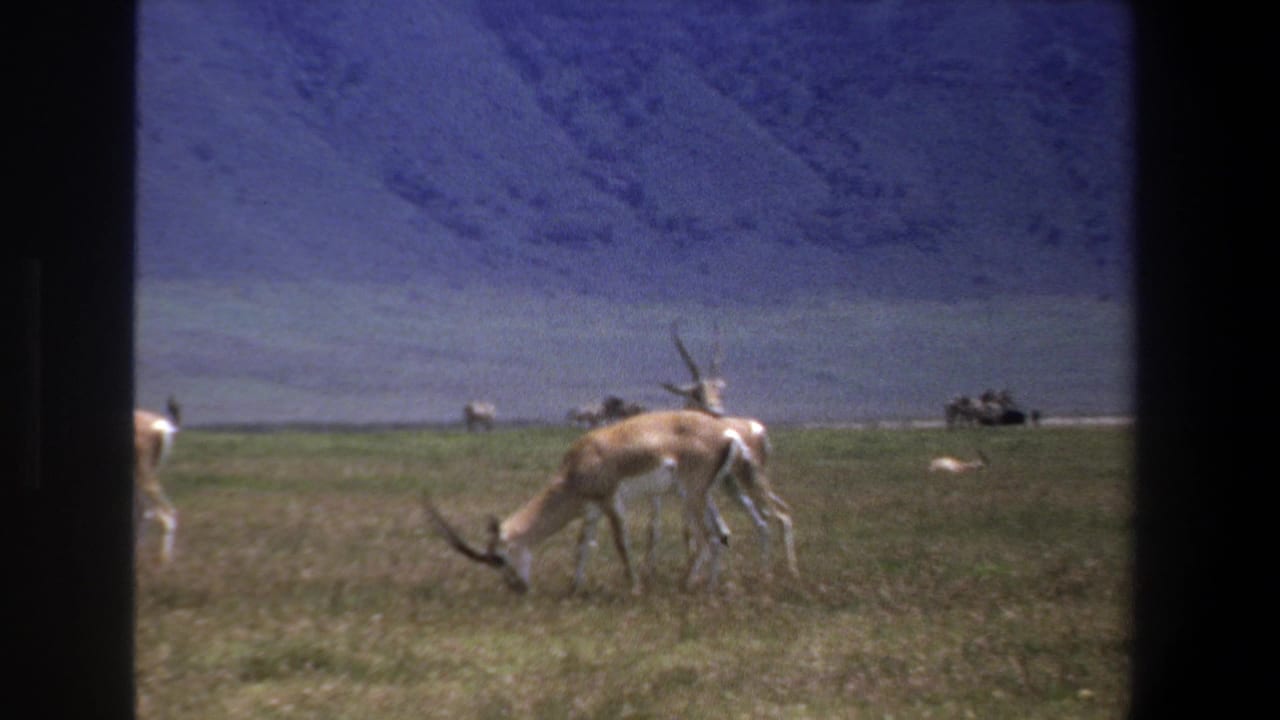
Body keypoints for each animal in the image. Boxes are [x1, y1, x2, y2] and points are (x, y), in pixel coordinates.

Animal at [423, 410, 750, 595]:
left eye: (501, 558)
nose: (518, 589)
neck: (578, 465)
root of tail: (725, 434)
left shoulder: (611, 502)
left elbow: (621, 544)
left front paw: (634, 588)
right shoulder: (591, 511)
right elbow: (582, 546)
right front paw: (574, 588)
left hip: (691, 496)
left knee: (707, 539)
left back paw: (688, 588)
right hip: (704, 495)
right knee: (722, 534)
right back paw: (707, 589)